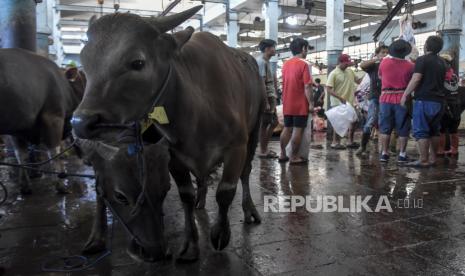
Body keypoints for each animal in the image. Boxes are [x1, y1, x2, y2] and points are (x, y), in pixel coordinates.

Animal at [0, 48, 84, 193]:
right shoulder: (52, 117)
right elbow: (54, 152)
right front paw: (60, 183)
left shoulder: (17, 127)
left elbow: (21, 155)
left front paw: (25, 185)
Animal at [72, 5, 264, 262]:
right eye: (85, 61)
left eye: (137, 62)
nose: (81, 122)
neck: (197, 110)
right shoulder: (173, 156)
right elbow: (186, 195)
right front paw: (190, 244)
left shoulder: (237, 147)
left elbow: (225, 192)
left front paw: (220, 234)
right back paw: (202, 201)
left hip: (256, 129)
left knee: (246, 173)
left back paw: (249, 210)